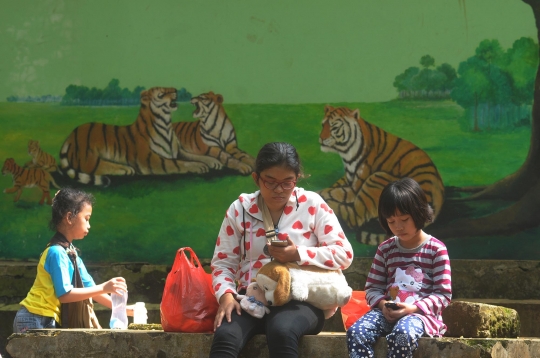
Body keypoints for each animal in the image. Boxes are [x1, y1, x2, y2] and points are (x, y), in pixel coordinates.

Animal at [57, 86, 213, 185]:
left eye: (171, 88)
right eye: (162, 93)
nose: (175, 90)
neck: (167, 123)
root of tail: (70, 136)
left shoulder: (178, 151)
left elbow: (195, 155)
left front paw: (213, 162)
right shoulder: (150, 159)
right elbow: (178, 163)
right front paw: (200, 166)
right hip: (90, 158)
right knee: (99, 166)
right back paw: (126, 169)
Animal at [318, 105, 446, 245]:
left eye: (334, 127)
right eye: (323, 125)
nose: (321, 139)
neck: (346, 152)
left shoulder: (355, 188)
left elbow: (330, 192)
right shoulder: (348, 179)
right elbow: (331, 187)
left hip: (376, 178)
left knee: (353, 217)